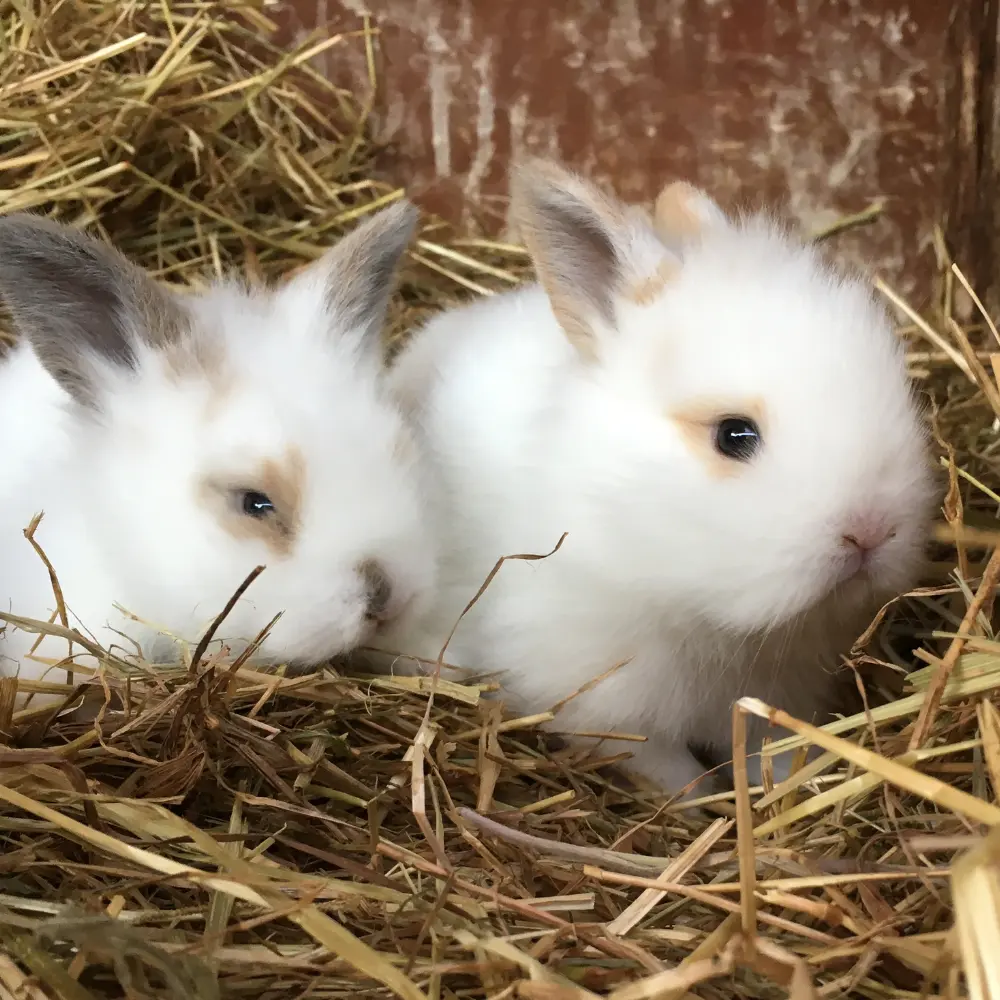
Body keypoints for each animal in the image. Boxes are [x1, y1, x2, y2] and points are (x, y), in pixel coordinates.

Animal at [373, 158, 935, 797]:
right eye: (734, 435)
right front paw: (707, 803)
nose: (873, 531)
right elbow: (673, 776)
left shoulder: (774, 697)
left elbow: (771, 753)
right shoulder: (609, 706)